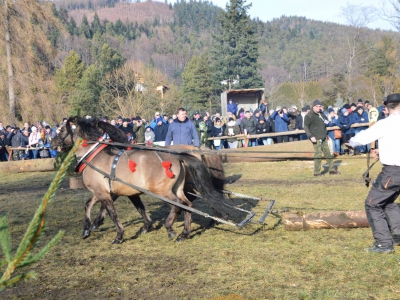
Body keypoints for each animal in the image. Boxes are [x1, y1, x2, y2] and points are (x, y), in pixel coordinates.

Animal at [52, 117, 234, 244]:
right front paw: (88, 228)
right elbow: (90, 205)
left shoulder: (103, 192)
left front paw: (118, 235)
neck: (94, 156)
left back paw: (171, 227)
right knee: (187, 204)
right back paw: (184, 233)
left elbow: (111, 213)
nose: (52, 143)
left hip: (162, 190)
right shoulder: (112, 192)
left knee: (178, 205)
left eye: (60, 130)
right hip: (177, 189)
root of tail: (179, 156)